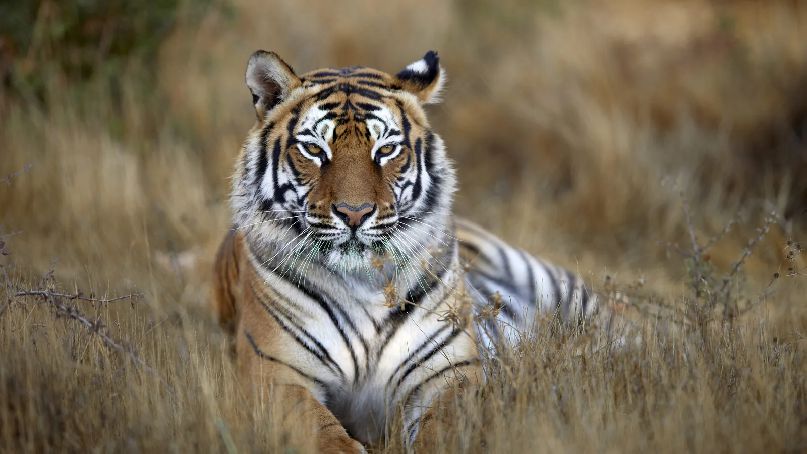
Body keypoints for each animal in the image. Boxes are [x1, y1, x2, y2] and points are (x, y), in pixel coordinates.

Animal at [212, 50, 599, 453]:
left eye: (385, 150)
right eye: (314, 149)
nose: (354, 213)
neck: (363, 284)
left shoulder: (448, 372)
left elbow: (443, 431)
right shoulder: (275, 373)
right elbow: (325, 436)